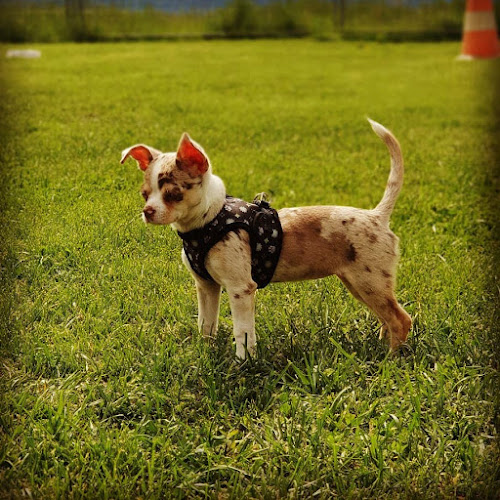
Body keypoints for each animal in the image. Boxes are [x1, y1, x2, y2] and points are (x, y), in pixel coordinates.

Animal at [121, 118, 410, 358]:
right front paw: (206, 353)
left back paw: (389, 360)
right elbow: (206, 324)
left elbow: (243, 332)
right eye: (144, 194)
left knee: (401, 320)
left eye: (173, 194)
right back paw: (381, 346)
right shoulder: (206, 286)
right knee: (387, 318)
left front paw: (243, 364)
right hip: (359, 284)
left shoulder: (240, 289)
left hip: (369, 282)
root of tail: (377, 215)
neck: (207, 222)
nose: (147, 212)